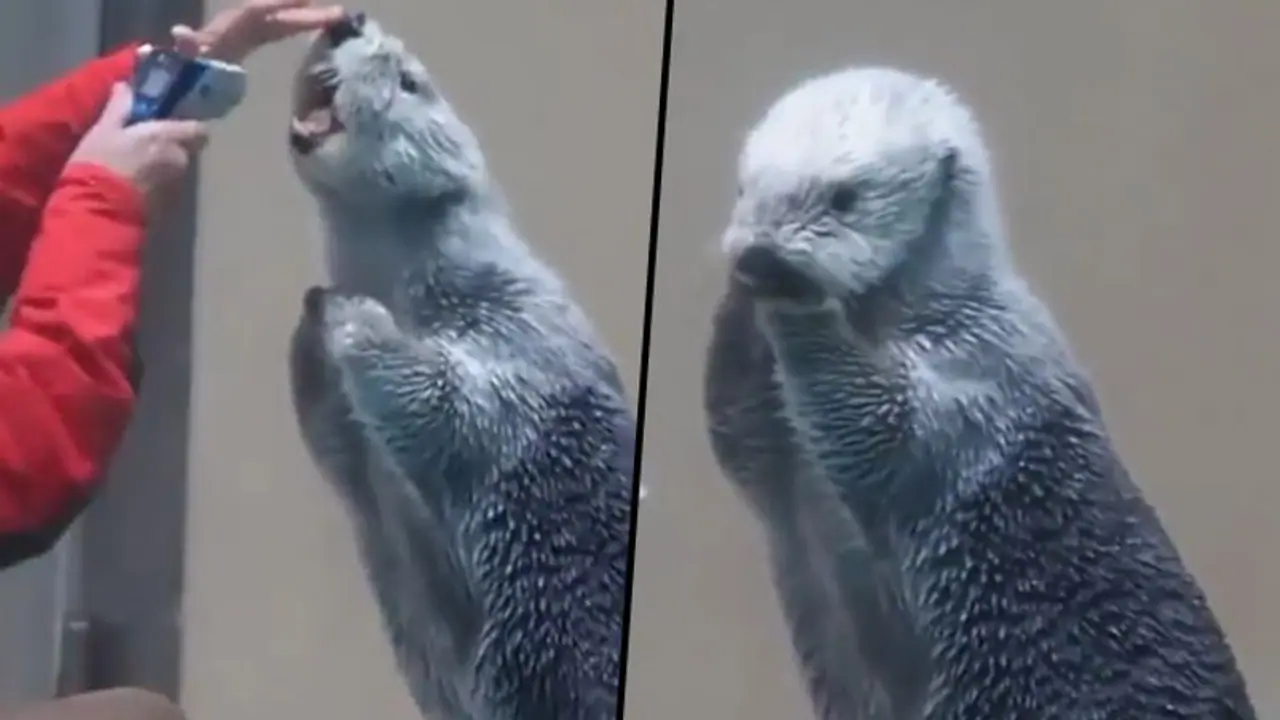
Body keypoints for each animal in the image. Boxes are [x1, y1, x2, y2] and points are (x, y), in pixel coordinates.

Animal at [284, 13, 635, 720]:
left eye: (410, 81)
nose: (346, 20)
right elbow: (335, 444)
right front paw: (312, 323)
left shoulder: (520, 330)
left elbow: (452, 403)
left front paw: (352, 313)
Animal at [704, 66, 1256, 718]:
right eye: (744, 188)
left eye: (844, 197)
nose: (759, 250)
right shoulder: (769, 450)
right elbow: (739, 440)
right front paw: (738, 296)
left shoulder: (976, 376)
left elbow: (874, 432)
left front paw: (791, 295)